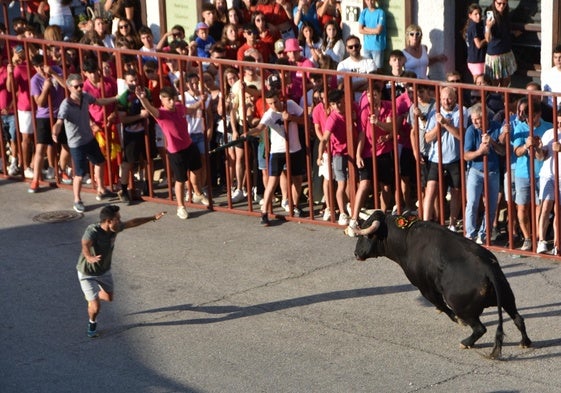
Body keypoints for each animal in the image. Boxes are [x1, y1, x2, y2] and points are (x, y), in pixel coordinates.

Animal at [352, 210, 532, 360]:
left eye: (366, 235)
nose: (356, 253)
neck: (406, 239)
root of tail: (488, 268)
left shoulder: (424, 287)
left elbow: (441, 304)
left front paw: (456, 320)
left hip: (462, 307)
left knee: (480, 328)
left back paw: (465, 342)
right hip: (508, 298)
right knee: (518, 319)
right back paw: (525, 342)